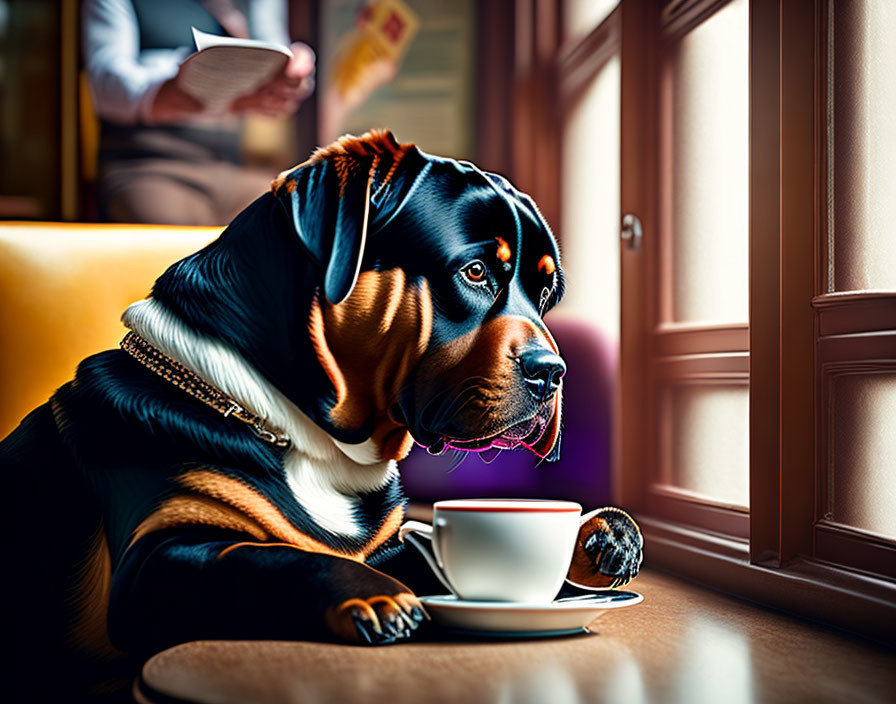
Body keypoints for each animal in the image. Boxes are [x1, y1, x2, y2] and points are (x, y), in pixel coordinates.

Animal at [1, 131, 644, 676]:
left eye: (546, 292)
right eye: (477, 271)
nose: (554, 373)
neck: (300, 432)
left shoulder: (391, 542)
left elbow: (419, 555)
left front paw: (599, 536)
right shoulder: (153, 565)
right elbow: (265, 556)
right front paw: (366, 592)